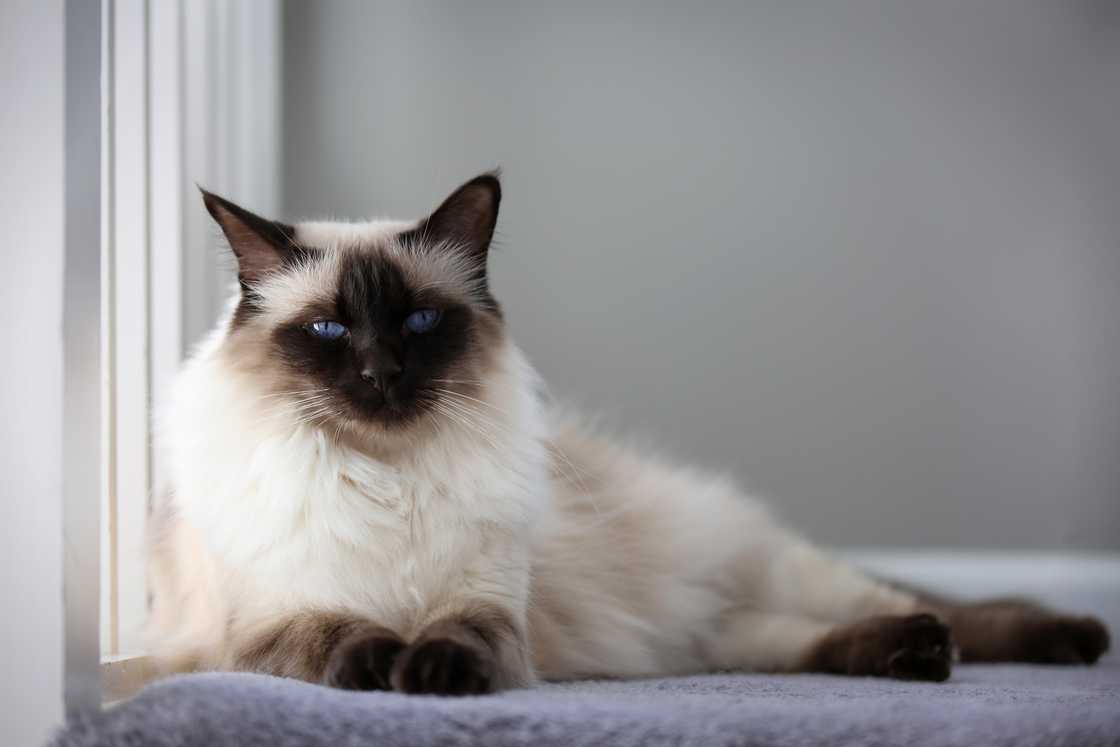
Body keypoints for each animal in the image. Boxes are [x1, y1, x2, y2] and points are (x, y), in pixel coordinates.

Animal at [151, 172, 1111, 694]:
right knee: (804, 640)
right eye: (329, 331)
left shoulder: (489, 607)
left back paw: (1058, 640)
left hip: (780, 576)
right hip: (709, 635)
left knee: (942, 611)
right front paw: (392, 663)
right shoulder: (271, 623)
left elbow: (456, 636)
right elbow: (345, 638)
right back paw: (918, 655)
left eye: (420, 323)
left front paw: (430, 677)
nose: (382, 375)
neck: (386, 476)